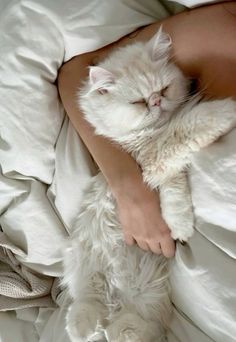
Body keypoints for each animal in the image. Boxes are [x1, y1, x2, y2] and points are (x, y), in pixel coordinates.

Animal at [62, 30, 236, 342]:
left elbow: (174, 195)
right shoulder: (152, 155)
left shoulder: (162, 168)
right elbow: (191, 124)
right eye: (138, 102)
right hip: (85, 263)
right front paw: (228, 110)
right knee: (87, 302)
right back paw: (84, 329)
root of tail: (116, 291)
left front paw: (180, 226)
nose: (155, 101)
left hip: (145, 295)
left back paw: (105, 329)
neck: (148, 134)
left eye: (164, 89)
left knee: (127, 325)